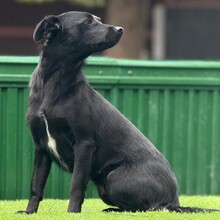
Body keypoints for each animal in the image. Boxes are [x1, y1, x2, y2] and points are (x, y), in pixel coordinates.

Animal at [17, 11, 218, 214]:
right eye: (88, 21)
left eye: (98, 19)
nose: (120, 29)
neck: (55, 83)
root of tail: (175, 201)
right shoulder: (41, 147)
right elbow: (36, 184)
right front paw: (29, 212)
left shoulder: (84, 144)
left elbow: (76, 184)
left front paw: (72, 213)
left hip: (114, 178)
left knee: (151, 208)